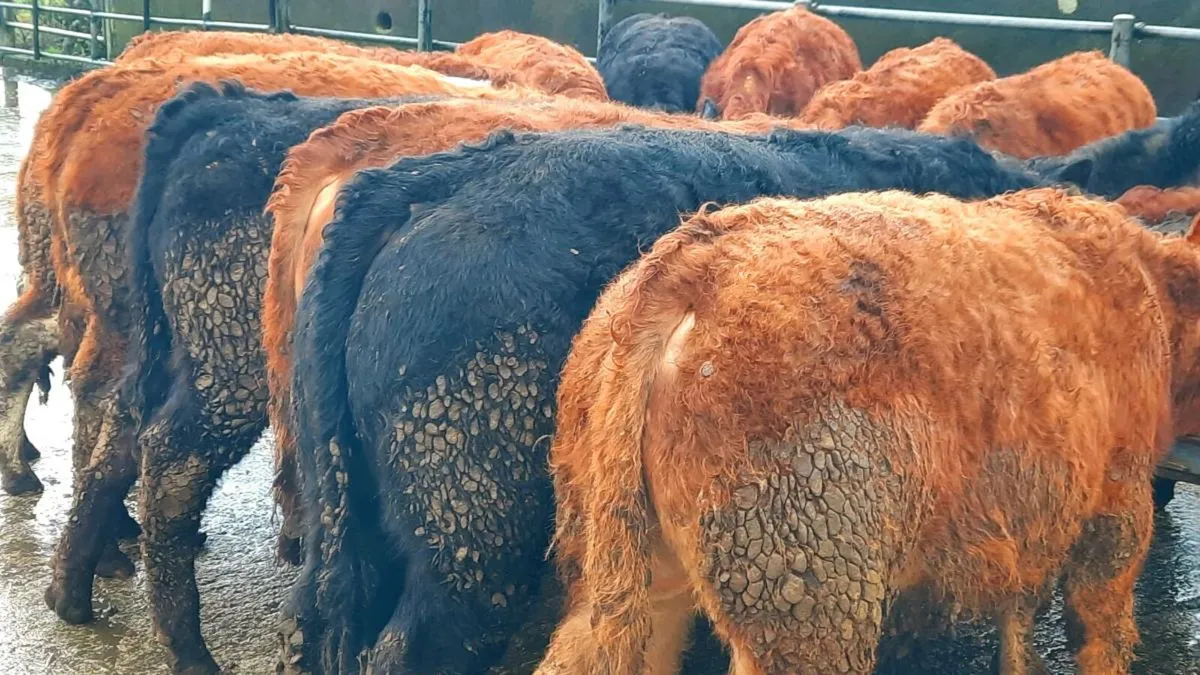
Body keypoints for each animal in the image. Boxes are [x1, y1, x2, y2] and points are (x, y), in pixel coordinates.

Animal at [535, 188, 1200, 675]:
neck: (1154, 290)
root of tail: (695, 262)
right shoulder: (1117, 500)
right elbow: (1101, 625)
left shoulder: (1034, 515)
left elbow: (1020, 625)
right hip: (803, 583)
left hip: (619, 566)